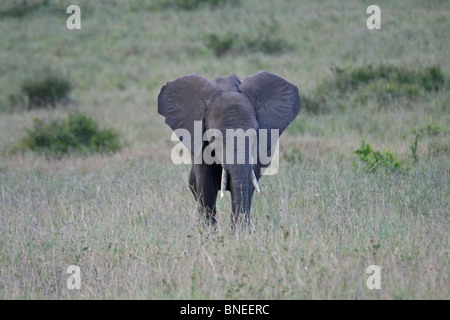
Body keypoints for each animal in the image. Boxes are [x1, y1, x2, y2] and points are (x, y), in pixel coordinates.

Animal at [156, 71, 300, 229]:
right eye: (214, 137)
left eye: (255, 135)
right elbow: (206, 185)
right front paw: (209, 232)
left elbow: (247, 184)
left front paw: (239, 231)